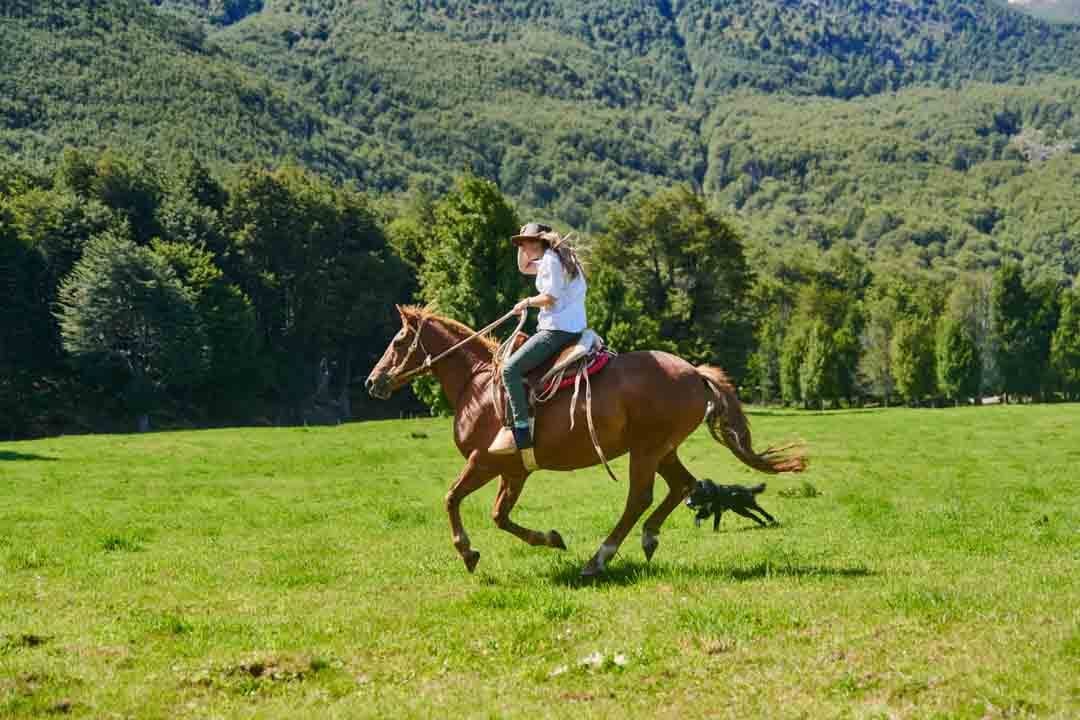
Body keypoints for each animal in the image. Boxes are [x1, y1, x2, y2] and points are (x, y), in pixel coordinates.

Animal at [365, 305, 807, 577]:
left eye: (399, 341)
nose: (373, 381)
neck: (477, 386)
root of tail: (695, 373)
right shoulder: (514, 471)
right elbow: (499, 515)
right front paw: (550, 539)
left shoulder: (483, 461)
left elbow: (452, 498)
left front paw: (468, 552)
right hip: (663, 450)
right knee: (682, 486)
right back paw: (648, 537)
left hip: (646, 450)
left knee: (639, 498)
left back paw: (600, 558)